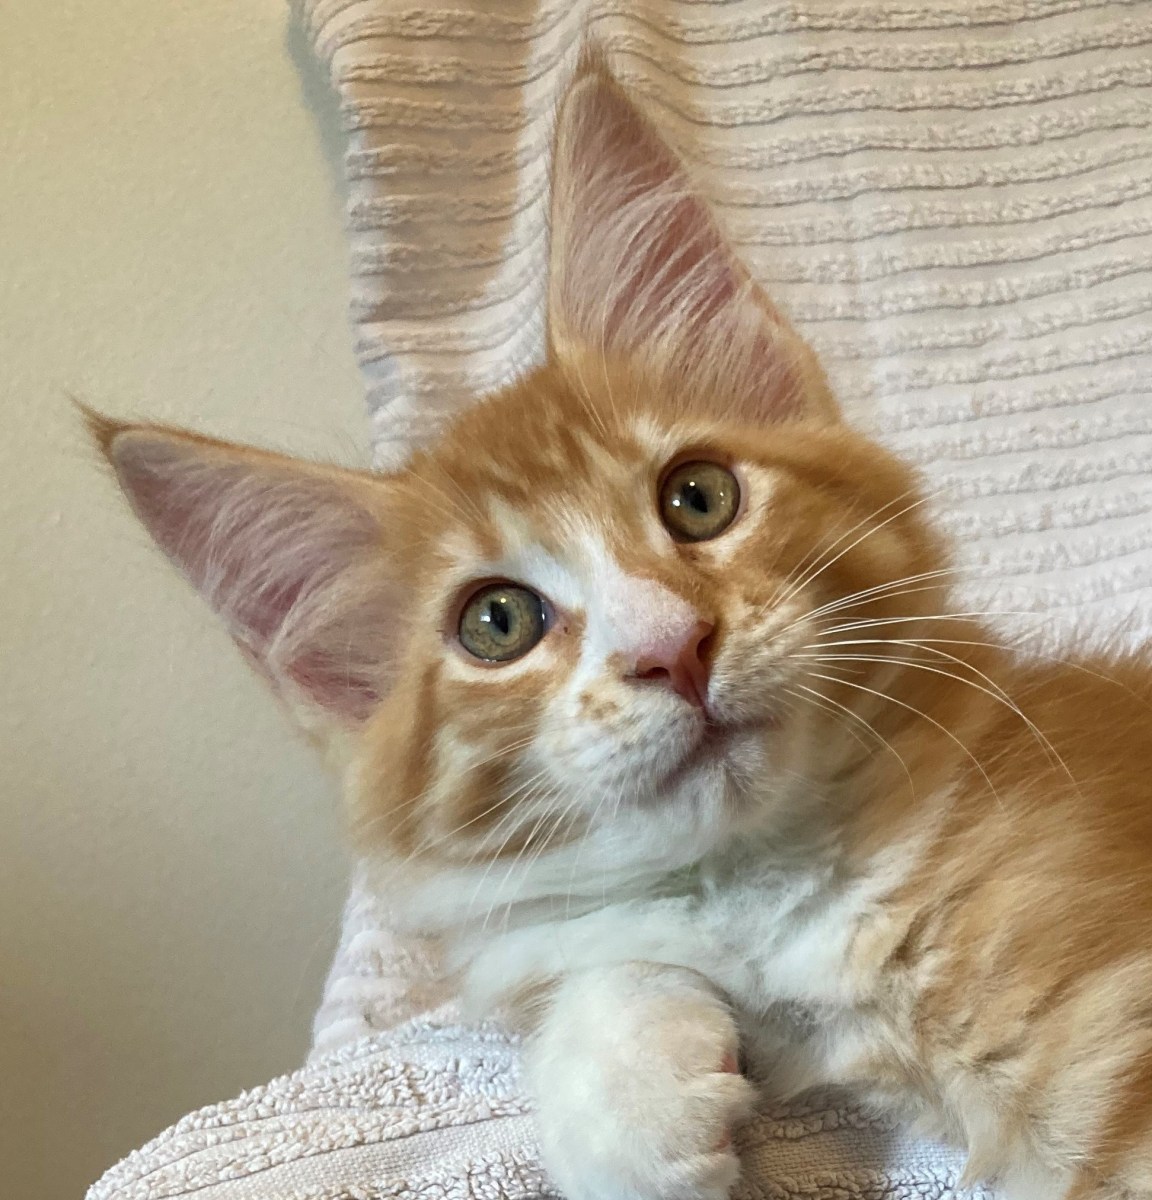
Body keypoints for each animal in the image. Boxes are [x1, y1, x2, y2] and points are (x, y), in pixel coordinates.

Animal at [92, 64, 1152, 1200]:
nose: (673, 647)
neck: (763, 886)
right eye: (497, 622)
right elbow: (598, 959)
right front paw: (630, 1103)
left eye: (698, 497)